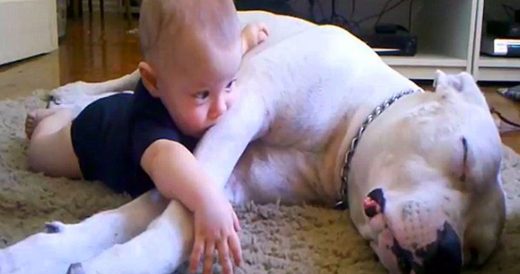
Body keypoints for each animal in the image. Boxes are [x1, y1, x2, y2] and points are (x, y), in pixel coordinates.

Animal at [0, 11, 504, 274]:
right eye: (464, 155)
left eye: (476, 255)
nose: (447, 255)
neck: (350, 123)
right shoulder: (240, 114)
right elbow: (182, 218)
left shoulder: (236, 180)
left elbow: (153, 215)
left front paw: (48, 253)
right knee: (127, 79)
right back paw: (69, 95)